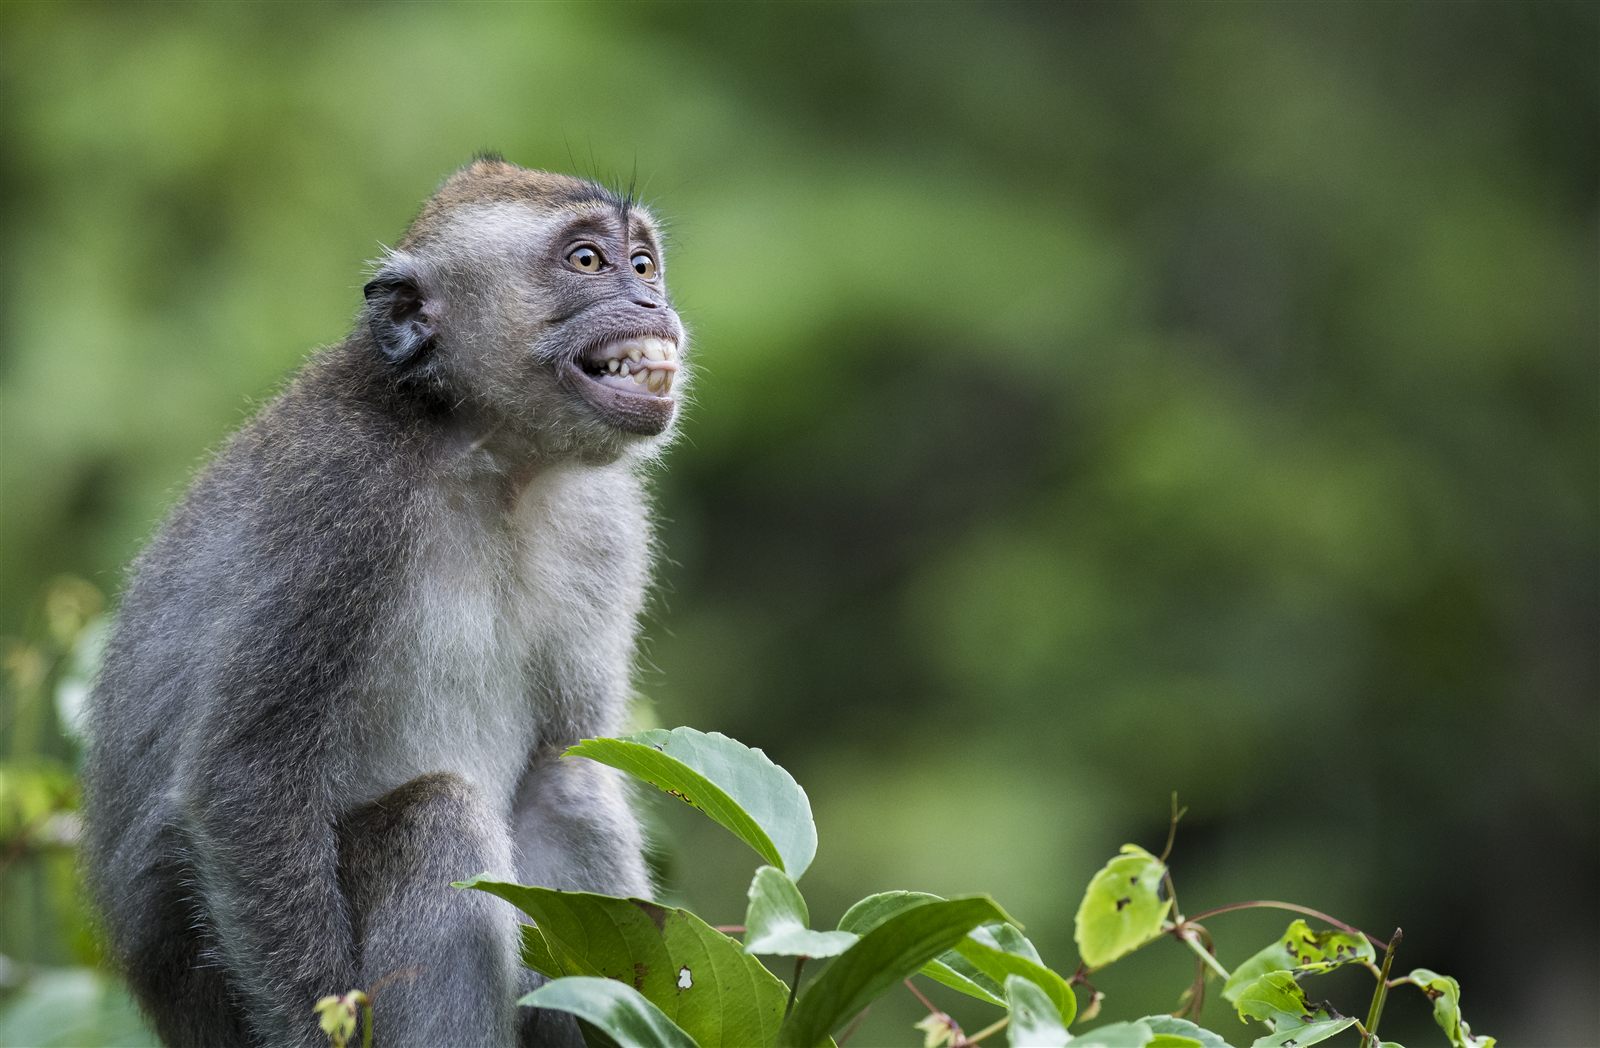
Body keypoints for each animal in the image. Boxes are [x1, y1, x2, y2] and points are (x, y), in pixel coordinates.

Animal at [81, 155, 688, 1047]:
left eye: (642, 264)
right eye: (586, 261)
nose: (651, 303)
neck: (488, 457)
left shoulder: (607, 525)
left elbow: (573, 749)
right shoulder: (342, 501)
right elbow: (245, 780)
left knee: (566, 792)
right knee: (436, 824)